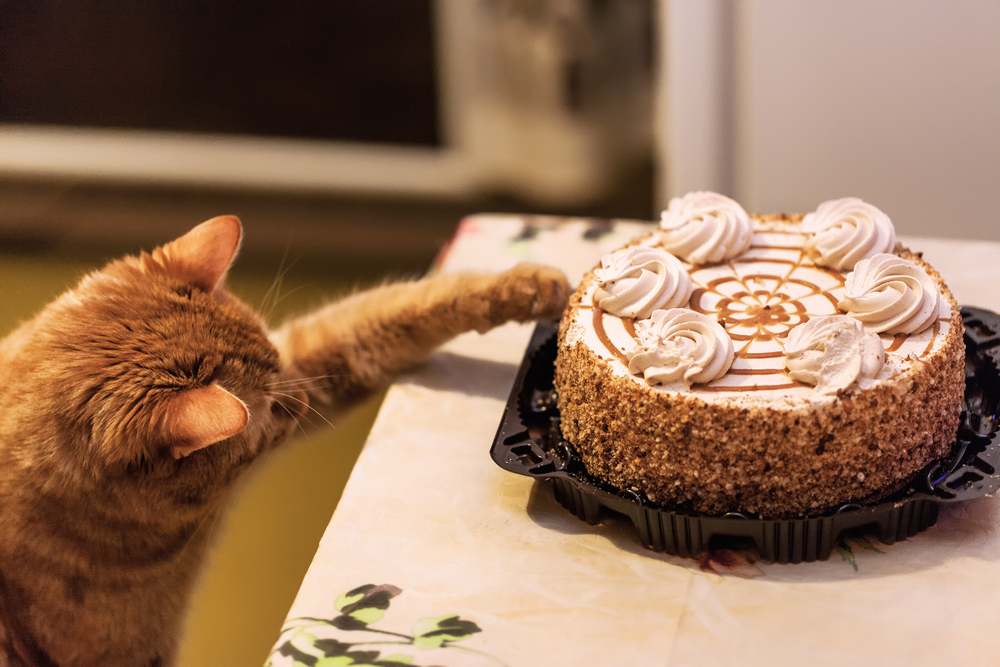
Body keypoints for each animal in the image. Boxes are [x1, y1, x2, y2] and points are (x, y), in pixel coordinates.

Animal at [0, 217, 568, 664]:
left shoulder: (308, 355)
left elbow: (404, 307)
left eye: (278, 376)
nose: (298, 404)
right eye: (270, 410)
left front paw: (530, 286)